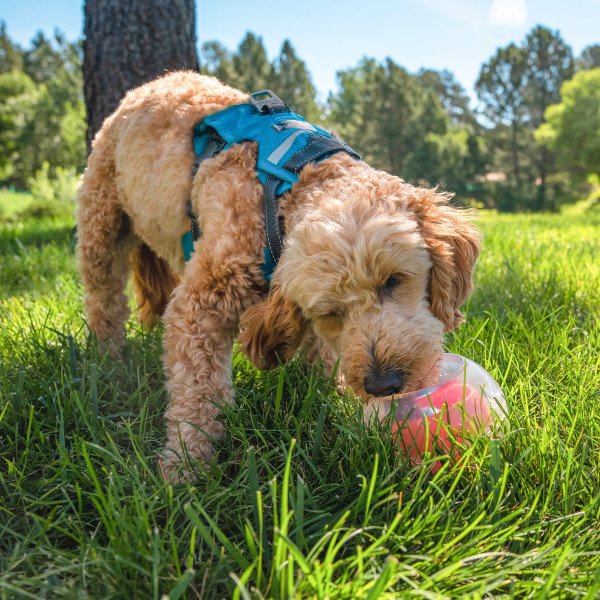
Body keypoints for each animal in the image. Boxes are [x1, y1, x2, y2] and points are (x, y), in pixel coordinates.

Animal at [75, 70, 480, 480]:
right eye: (333, 312)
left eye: (393, 280)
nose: (383, 384)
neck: (289, 186)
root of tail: (146, 87)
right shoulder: (199, 304)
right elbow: (197, 390)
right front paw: (186, 462)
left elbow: (321, 354)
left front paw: (342, 402)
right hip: (101, 228)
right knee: (104, 300)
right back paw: (110, 356)